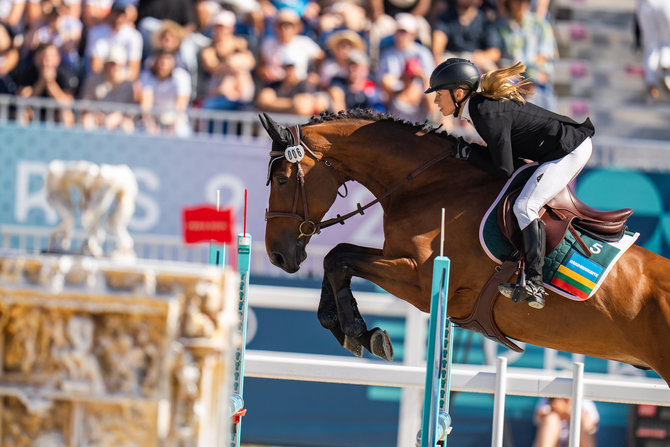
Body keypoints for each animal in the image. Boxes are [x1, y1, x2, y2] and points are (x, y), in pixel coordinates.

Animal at [260, 110, 670, 386]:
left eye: (281, 179)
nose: (277, 255)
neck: (429, 183)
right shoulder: (399, 261)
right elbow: (337, 258)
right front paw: (345, 327)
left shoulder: (420, 281)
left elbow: (340, 257)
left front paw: (361, 332)